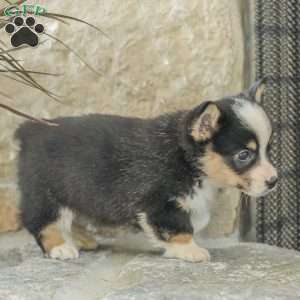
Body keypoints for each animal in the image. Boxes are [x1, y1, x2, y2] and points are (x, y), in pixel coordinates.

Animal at [14, 81, 276, 262]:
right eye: (244, 155)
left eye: (267, 149)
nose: (274, 181)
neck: (186, 158)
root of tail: (30, 130)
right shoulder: (159, 203)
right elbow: (179, 227)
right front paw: (190, 250)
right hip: (46, 192)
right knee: (42, 221)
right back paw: (60, 247)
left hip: (77, 192)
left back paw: (81, 239)